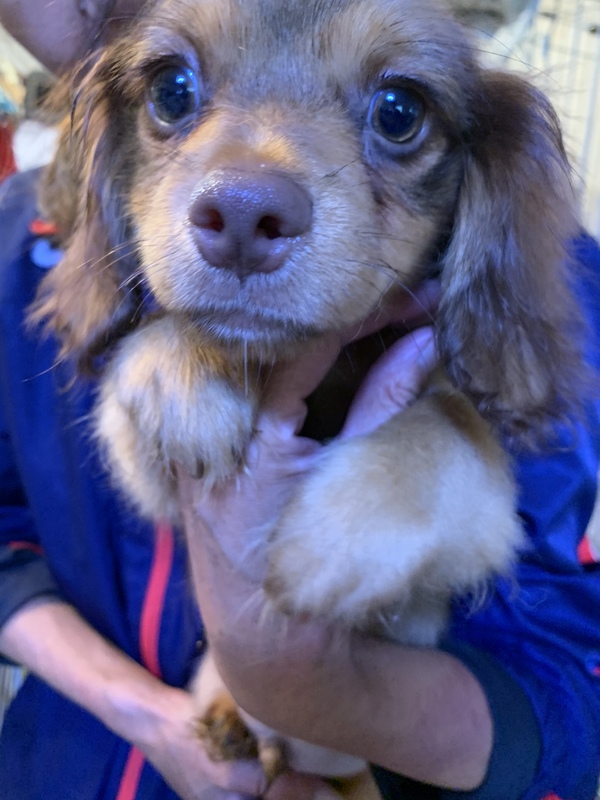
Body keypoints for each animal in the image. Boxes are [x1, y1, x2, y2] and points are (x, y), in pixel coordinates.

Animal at [32, 0, 586, 787]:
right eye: (172, 90)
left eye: (399, 110)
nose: (241, 216)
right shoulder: (161, 490)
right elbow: (144, 373)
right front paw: (187, 364)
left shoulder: (442, 581)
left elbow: (452, 427)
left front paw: (334, 541)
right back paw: (233, 727)